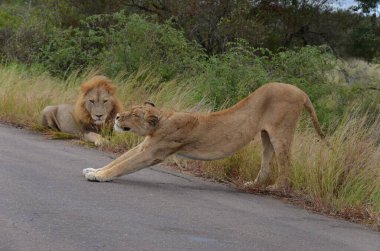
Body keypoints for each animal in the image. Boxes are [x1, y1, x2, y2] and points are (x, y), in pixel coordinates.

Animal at [82, 82, 324, 190]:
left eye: (133, 115)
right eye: (130, 109)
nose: (117, 116)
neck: (163, 120)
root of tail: (301, 91)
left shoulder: (154, 152)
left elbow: (123, 165)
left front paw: (99, 176)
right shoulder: (145, 146)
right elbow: (119, 160)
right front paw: (94, 170)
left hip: (281, 133)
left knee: (286, 165)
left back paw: (276, 188)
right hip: (266, 136)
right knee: (267, 163)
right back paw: (252, 185)